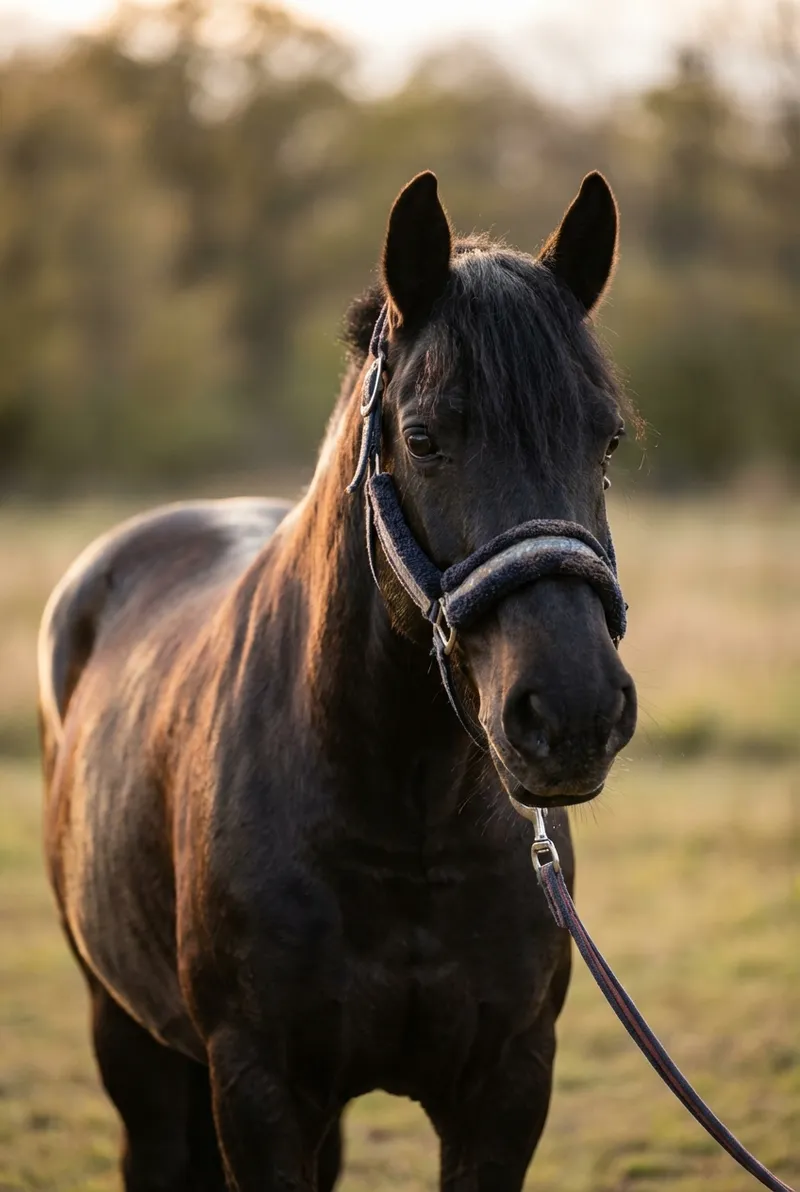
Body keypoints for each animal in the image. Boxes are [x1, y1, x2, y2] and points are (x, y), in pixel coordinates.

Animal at [38, 169, 637, 1191]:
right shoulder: (258, 1087)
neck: (406, 819)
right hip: (126, 1034)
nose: (572, 712)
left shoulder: (506, 1088)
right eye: (424, 437)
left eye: (606, 441)